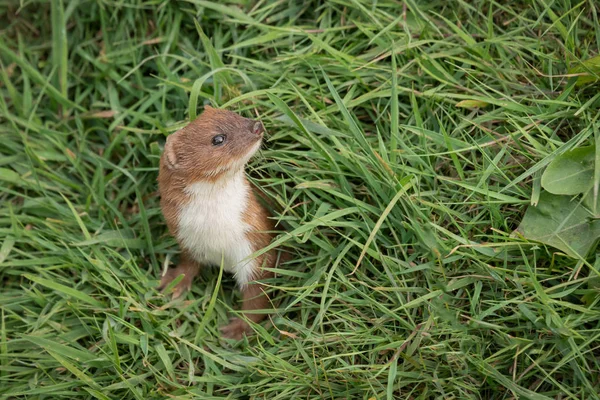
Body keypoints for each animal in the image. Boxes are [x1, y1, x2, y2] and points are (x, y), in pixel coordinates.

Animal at [159, 104, 282, 340]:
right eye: (218, 138)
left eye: (234, 114)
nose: (256, 125)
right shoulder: (186, 238)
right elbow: (188, 263)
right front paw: (174, 283)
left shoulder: (255, 245)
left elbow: (257, 297)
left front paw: (237, 329)